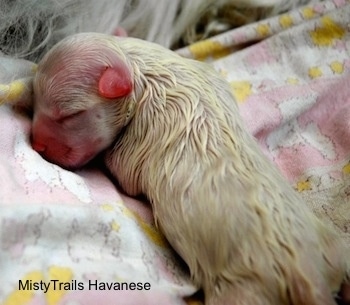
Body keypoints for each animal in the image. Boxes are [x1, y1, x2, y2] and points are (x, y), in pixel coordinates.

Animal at [31, 33, 348, 304]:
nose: (36, 145)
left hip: (245, 290)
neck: (139, 66)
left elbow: (124, 172)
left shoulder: (142, 136)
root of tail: (308, 278)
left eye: (69, 115)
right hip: (333, 249)